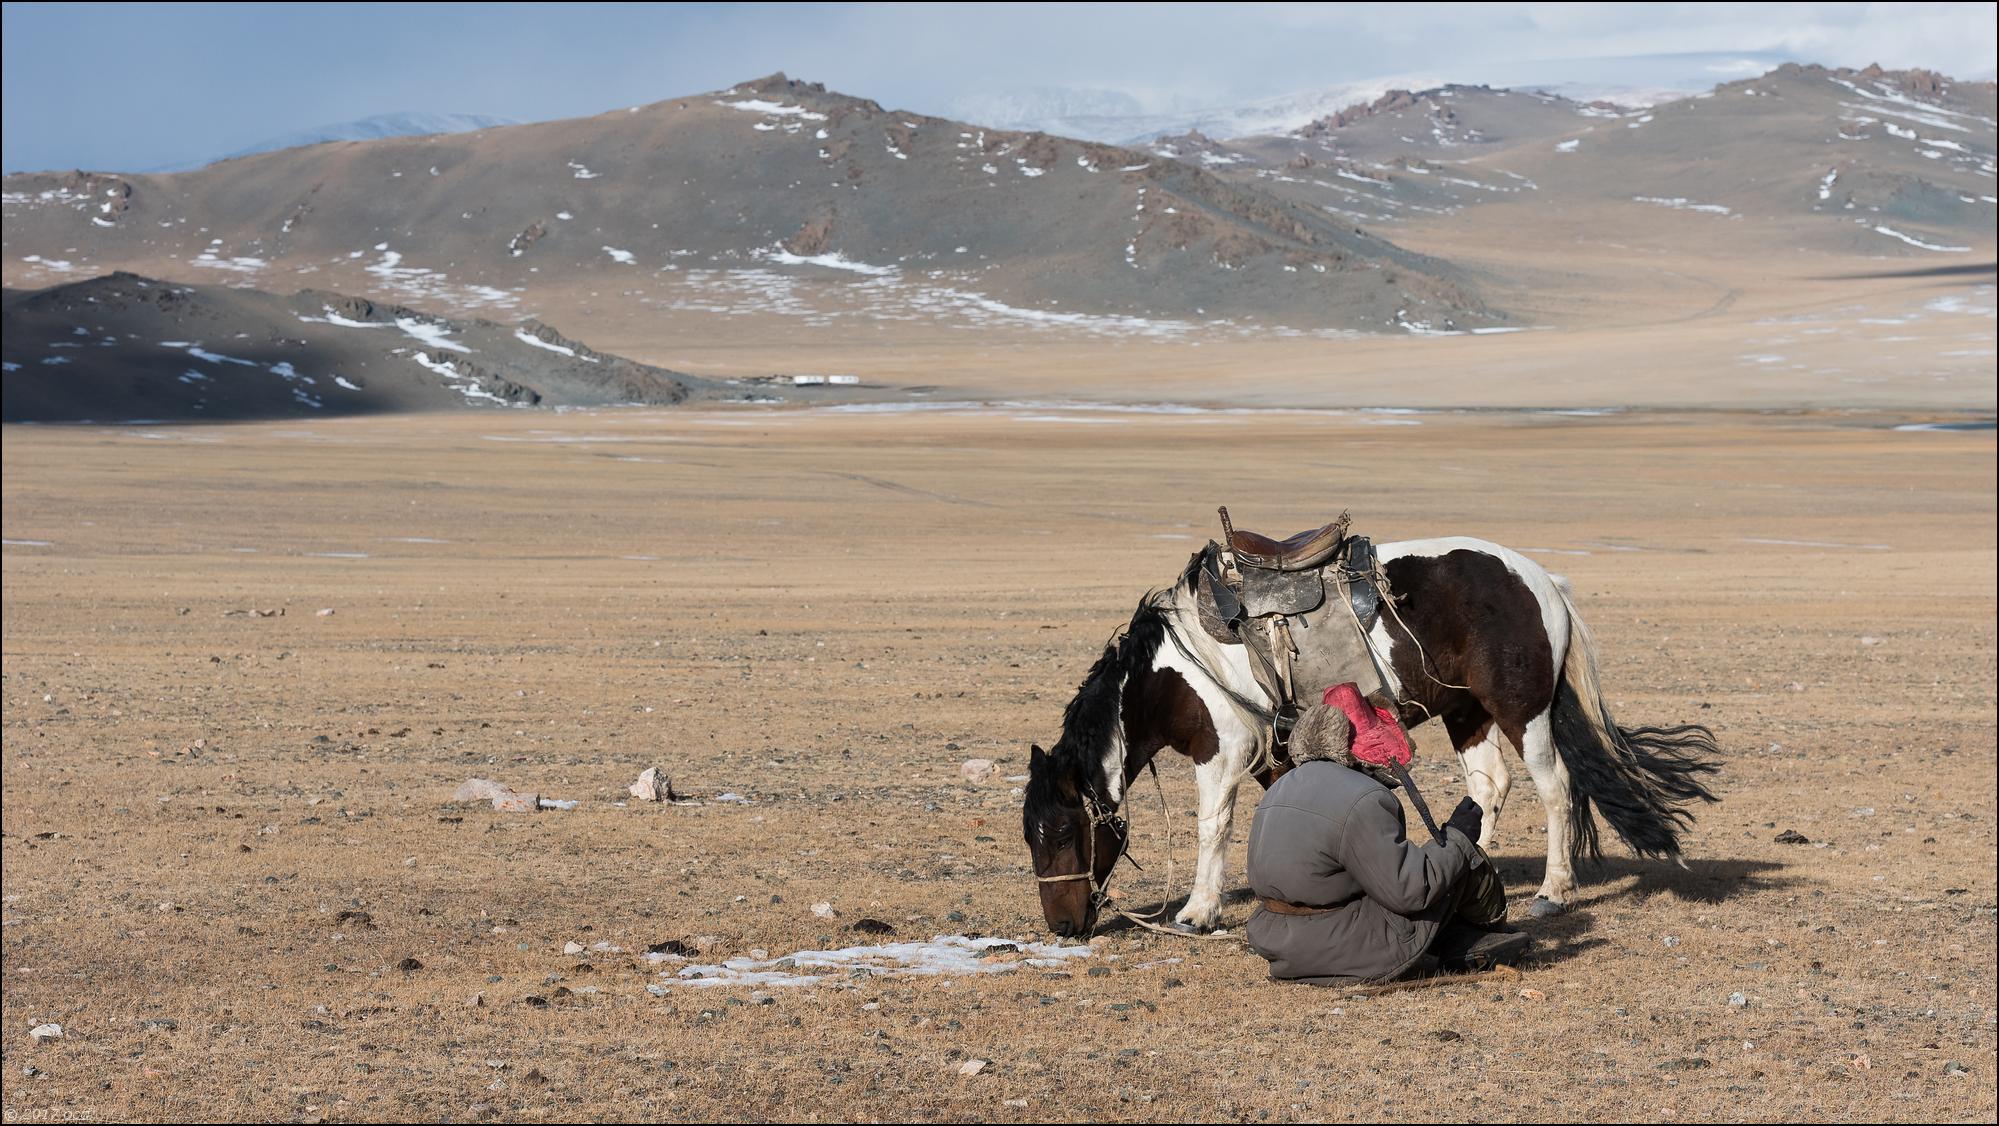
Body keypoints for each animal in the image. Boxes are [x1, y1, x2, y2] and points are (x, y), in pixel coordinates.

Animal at [1023, 536, 1727, 936]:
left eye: (1060, 831)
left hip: (1521, 713)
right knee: (1489, 786)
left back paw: (1552, 893)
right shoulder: (1277, 751)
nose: (1063, 927)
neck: (1176, 666)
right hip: (1465, 713)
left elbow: (1212, 828)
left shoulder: (1221, 752)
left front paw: (1198, 913)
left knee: (1552, 788)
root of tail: (1542, 583)